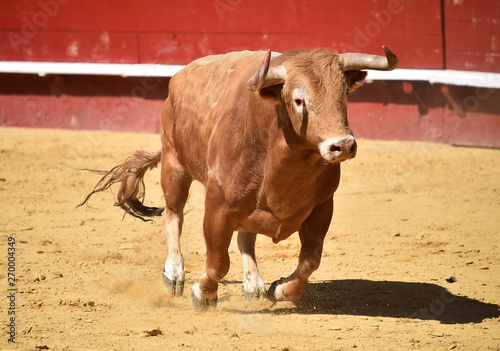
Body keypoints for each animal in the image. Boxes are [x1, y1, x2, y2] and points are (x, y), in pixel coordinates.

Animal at [79, 45, 398, 310]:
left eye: (344, 94)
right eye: (298, 100)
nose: (342, 145)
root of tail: (179, 77)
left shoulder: (322, 206)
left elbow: (310, 260)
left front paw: (279, 289)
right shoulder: (217, 206)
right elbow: (218, 261)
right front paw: (203, 293)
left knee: (246, 236)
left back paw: (253, 284)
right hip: (174, 163)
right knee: (173, 214)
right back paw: (174, 274)